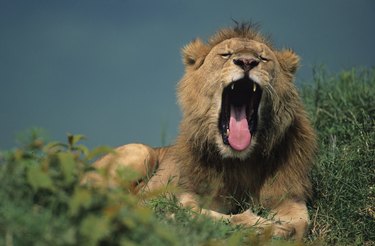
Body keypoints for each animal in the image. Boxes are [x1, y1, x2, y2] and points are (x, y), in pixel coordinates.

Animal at [87, 23, 318, 240]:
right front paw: (262, 226)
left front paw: (280, 228)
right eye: (226, 54)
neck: (240, 162)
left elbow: (301, 224)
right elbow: (202, 215)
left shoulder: (289, 196)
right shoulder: (185, 195)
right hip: (141, 152)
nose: (247, 62)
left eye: (263, 58)